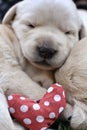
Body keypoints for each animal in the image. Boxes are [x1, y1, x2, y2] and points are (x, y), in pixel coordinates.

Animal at [0, 0, 86, 129]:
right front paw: (68, 110)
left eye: (68, 32)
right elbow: (36, 90)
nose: (46, 50)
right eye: (30, 25)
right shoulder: (11, 73)